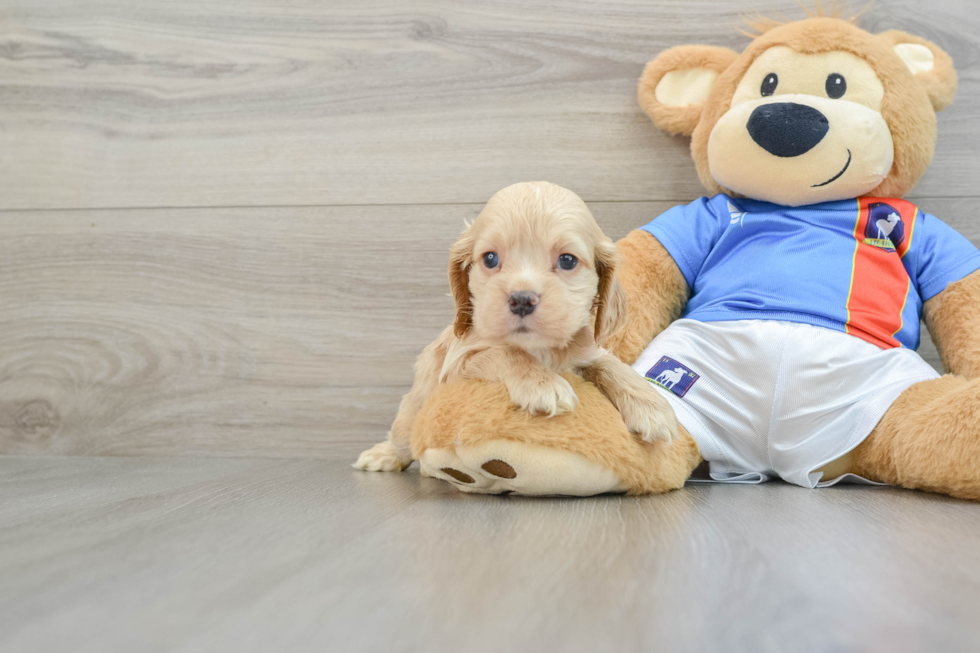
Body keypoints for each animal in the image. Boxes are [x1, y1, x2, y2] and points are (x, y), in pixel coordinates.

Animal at [356, 181, 676, 472]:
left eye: (567, 260)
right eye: (490, 258)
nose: (522, 300)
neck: (539, 349)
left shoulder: (586, 352)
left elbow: (610, 365)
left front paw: (652, 407)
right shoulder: (458, 363)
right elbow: (505, 353)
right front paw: (542, 384)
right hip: (412, 409)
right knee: (403, 437)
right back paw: (382, 456)